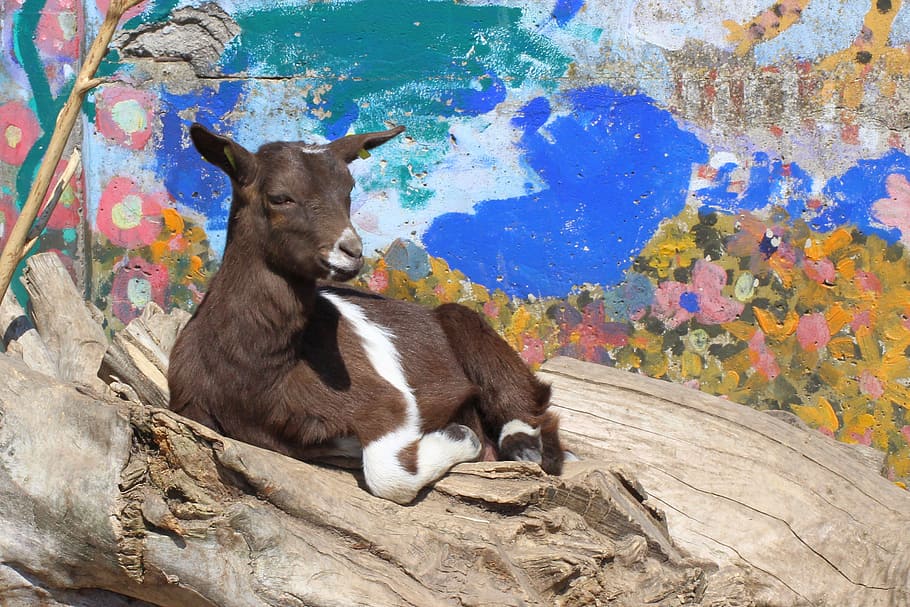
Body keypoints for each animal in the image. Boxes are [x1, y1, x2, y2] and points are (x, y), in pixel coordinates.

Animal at [167, 123, 565, 504]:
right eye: (280, 197)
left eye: (348, 191)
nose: (352, 251)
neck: (261, 372)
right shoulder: (190, 405)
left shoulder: (387, 401)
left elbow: (389, 475)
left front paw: (460, 436)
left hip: (465, 324)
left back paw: (520, 448)